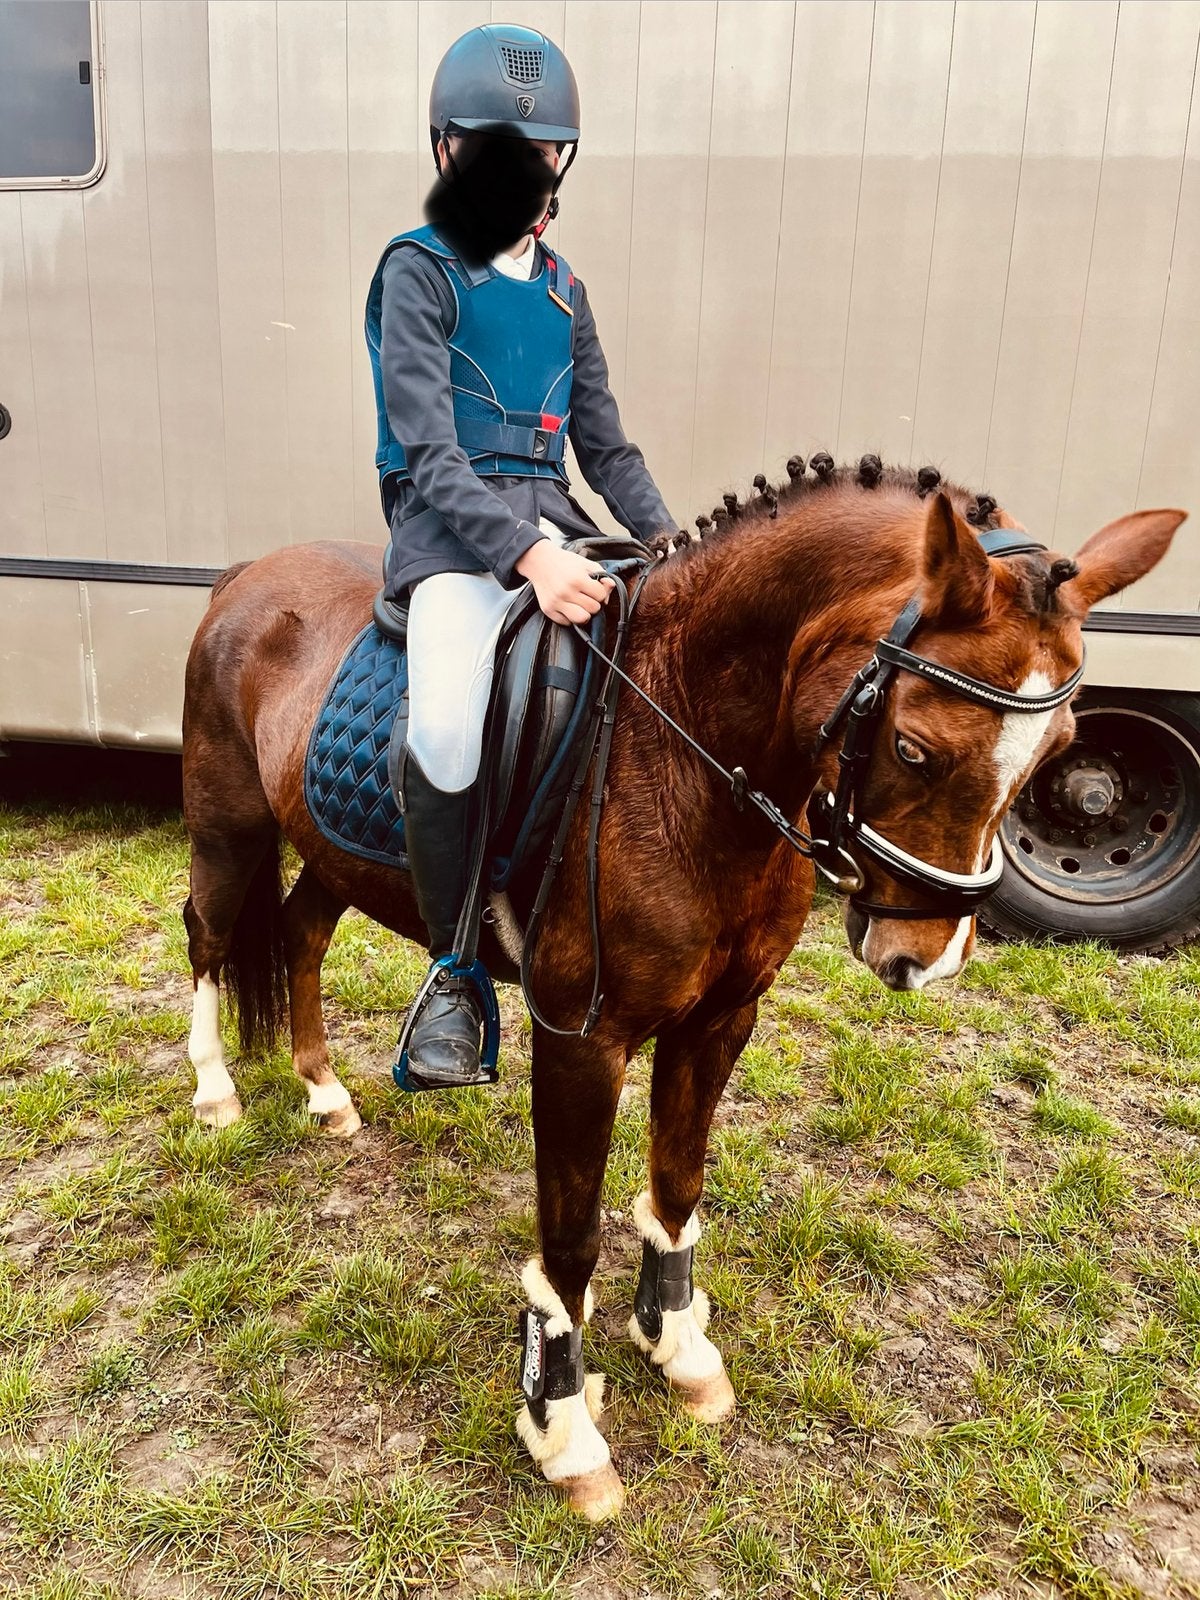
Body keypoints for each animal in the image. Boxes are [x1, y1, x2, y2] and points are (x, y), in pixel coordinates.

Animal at [180, 456, 1184, 1518]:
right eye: (914, 746)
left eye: (1059, 754)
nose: (926, 954)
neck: (680, 746)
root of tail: (247, 575)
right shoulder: (582, 1041)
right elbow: (570, 1244)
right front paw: (565, 1429)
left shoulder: (719, 1020)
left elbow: (676, 1187)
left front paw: (676, 1346)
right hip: (228, 822)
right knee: (208, 936)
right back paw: (216, 1092)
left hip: (330, 851)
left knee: (299, 935)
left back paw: (324, 1091)